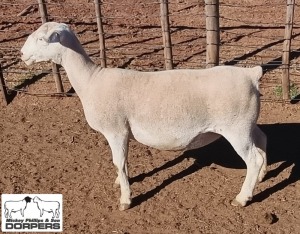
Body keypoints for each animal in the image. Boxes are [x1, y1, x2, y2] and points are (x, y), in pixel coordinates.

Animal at [20, 22, 268, 211]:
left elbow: (118, 161)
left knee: (253, 158)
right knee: (262, 140)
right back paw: (262, 176)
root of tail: (251, 74)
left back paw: (243, 197)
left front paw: (125, 200)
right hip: (247, 123)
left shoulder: (115, 130)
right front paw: (120, 182)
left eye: (42, 39)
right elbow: (123, 162)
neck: (91, 80)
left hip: (236, 128)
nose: (21, 54)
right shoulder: (123, 132)